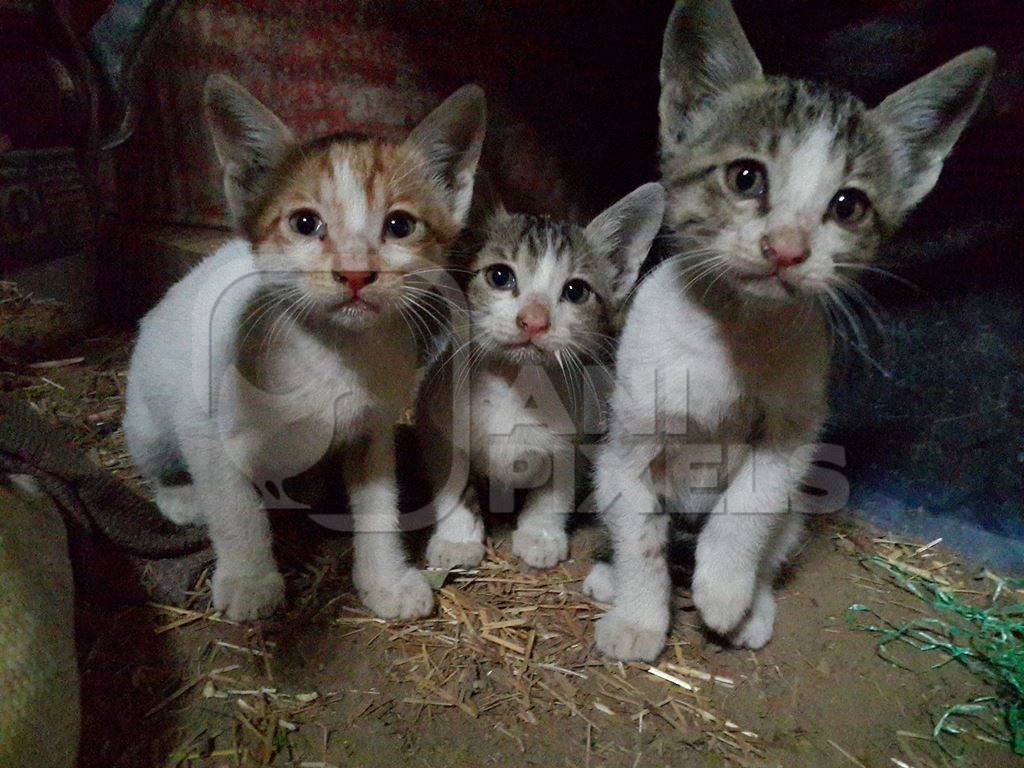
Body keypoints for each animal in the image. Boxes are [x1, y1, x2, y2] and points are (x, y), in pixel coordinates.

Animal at [122, 75, 483, 622]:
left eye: (400, 226)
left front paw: (384, 578)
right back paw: (184, 498)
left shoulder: (373, 427)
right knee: (157, 465)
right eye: (305, 224)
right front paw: (250, 579)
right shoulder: (203, 423)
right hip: (148, 417)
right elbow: (235, 508)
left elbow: (379, 505)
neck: (333, 354)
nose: (355, 273)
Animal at [415, 185, 663, 573]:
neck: (515, 388)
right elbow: (453, 482)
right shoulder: (435, 422)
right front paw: (457, 538)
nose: (534, 320)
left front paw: (540, 534)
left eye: (576, 291)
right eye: (500, 276)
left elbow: (556, 489)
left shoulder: (578, 438)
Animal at [589, 0, 995, 663]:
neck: (734, 333)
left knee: (773, 539)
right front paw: (640, 618)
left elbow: (749, 507)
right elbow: (640, 535)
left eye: (848, 205)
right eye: (745, 177)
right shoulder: (629, 442)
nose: (786, 249)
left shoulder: (793, 435)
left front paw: (725, 590)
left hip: (797, 513)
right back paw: (611, 576)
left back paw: (752, 603)